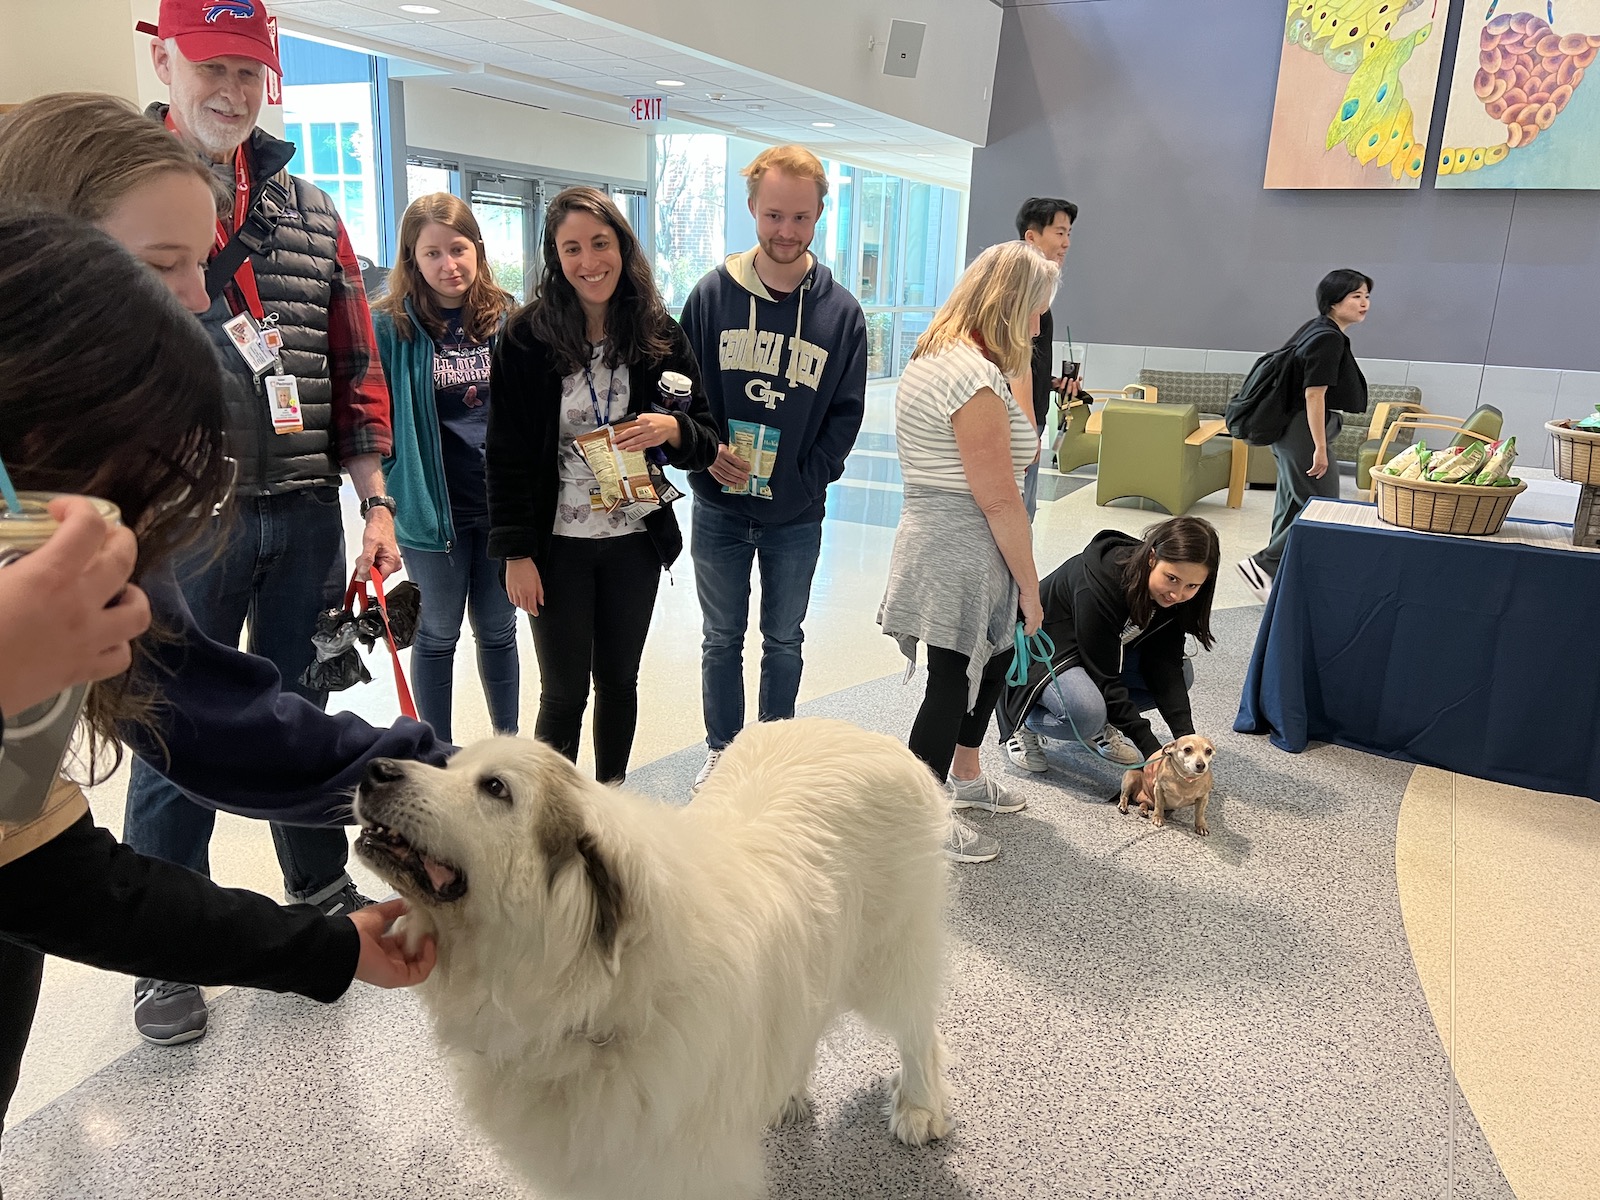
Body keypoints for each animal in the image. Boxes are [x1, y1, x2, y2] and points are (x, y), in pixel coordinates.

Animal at [356, 720, 953, 1196]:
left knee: (918, 1029)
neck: (587, 1002)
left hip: (887, 959)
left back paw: (918, 1107)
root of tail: (865, 734)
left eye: (495, 788)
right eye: (449, 765)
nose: (374, 768)